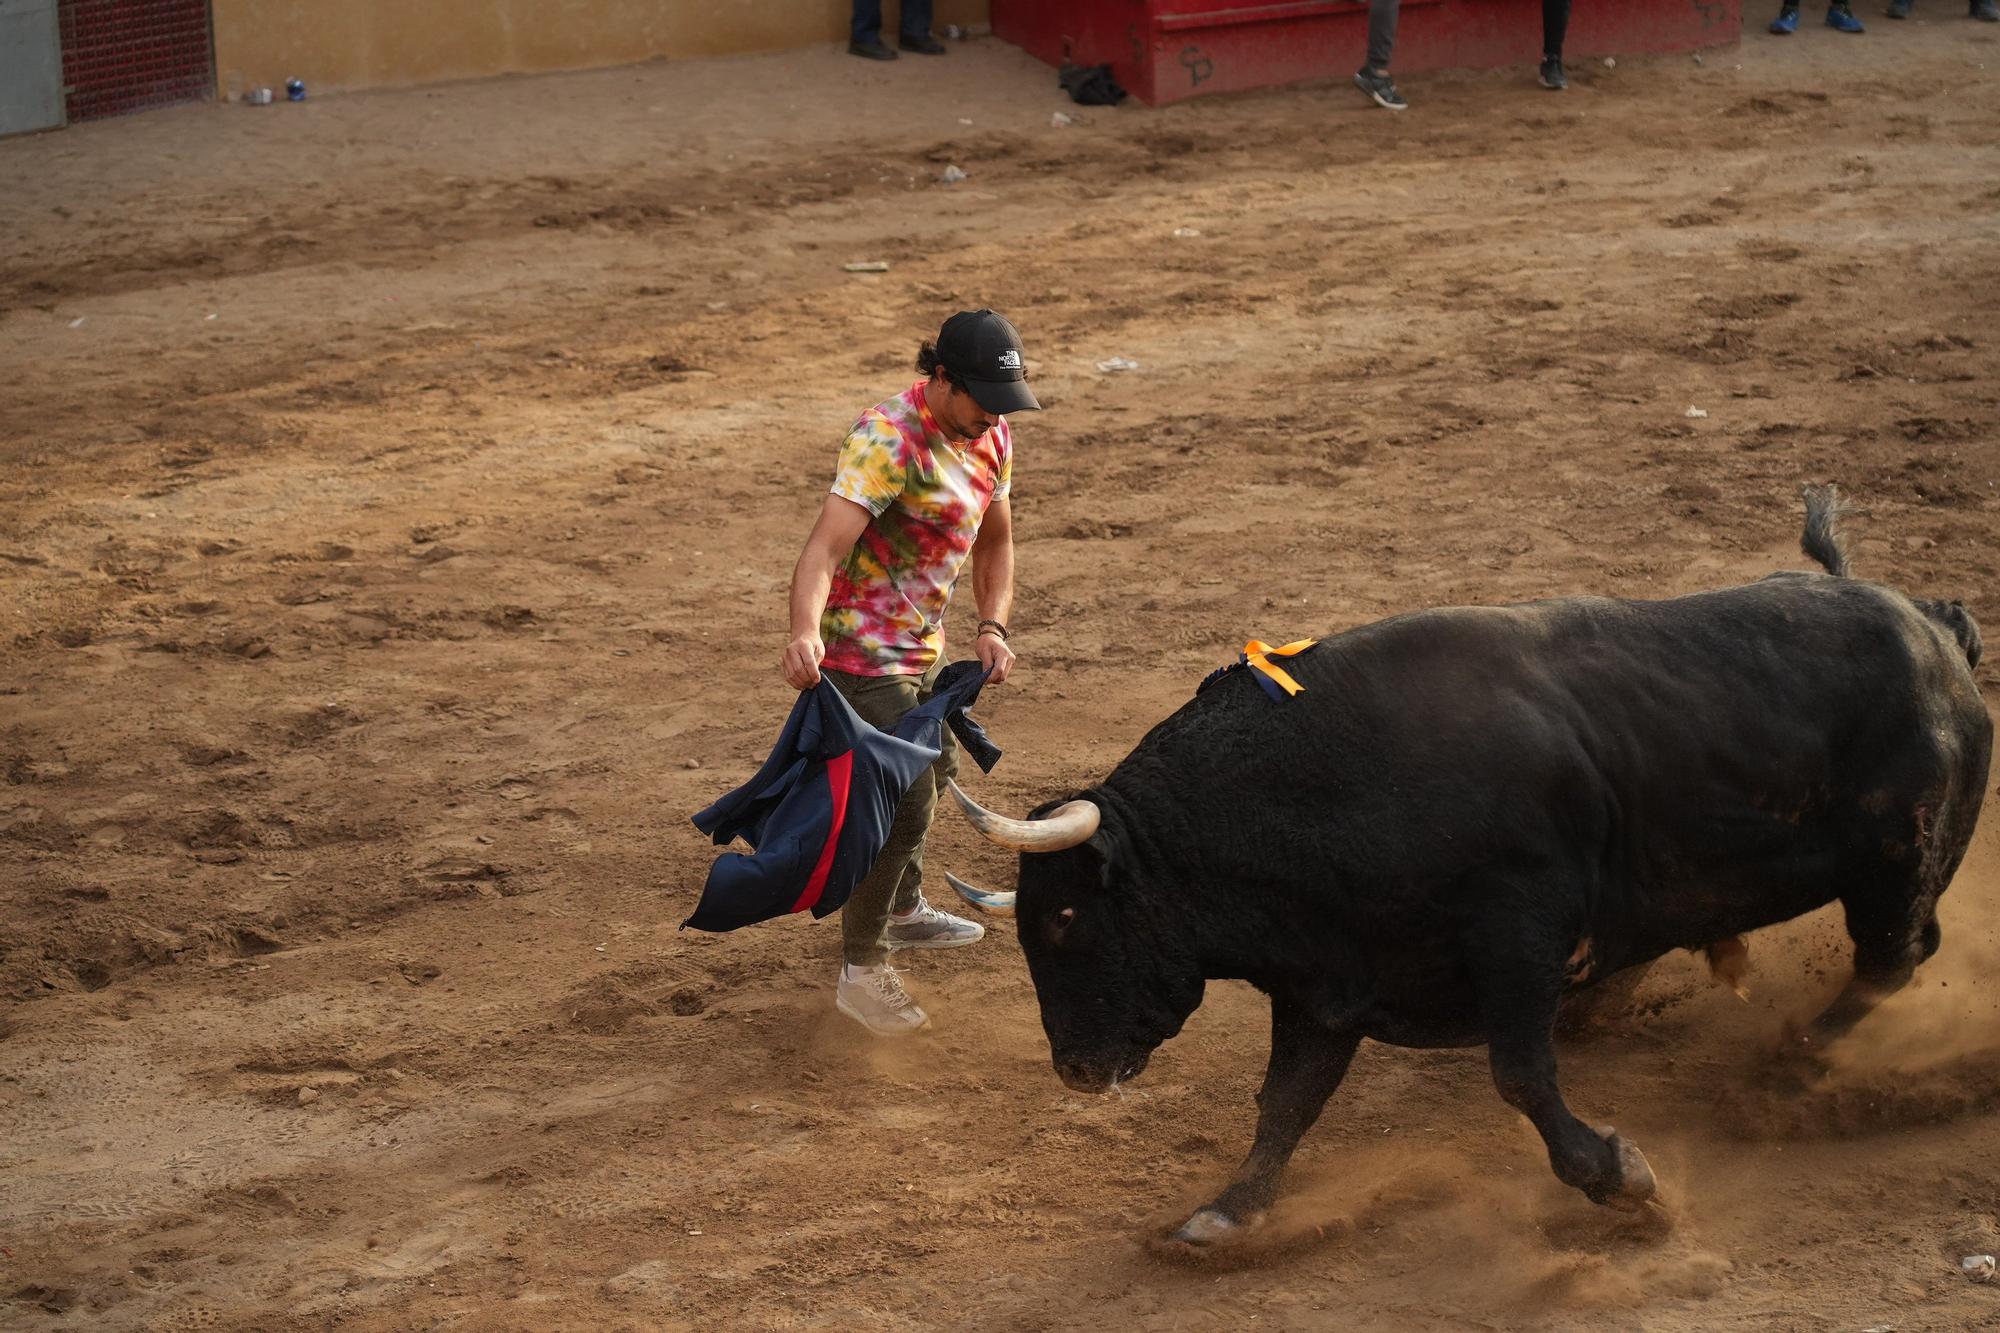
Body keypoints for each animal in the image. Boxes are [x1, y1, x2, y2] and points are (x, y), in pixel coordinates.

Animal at [948, 490, 1984, 1248]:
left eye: (1068, 920)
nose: (1076, 1069)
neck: (1312, 787)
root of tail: (1932, 626)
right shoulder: (1328, 983)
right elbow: (1285, 1103)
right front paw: (1223, 1214)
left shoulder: (1513, 936)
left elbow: (1519, 1075)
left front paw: (1625, 1181)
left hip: (1898, 859)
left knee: (1893, 956)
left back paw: (1787, 1065)